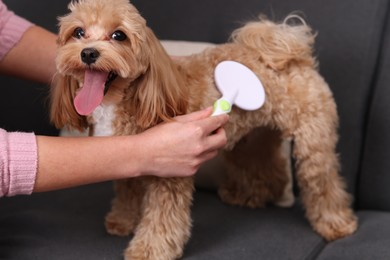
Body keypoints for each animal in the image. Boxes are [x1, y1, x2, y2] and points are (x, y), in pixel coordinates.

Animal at [50, 0, 358, 258]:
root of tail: (287, 52)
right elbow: (128, 193)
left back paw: (336, 223)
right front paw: (123, 221)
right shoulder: (129, 159)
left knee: (323, 184)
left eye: (118, 35)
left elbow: (162, 219)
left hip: (313, 144)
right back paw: (248, 196)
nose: (88, 53)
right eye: (78, 32)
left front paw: (148, 250)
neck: (132, 97)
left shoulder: (170, 177)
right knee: (265, 169)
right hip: (252, 140)